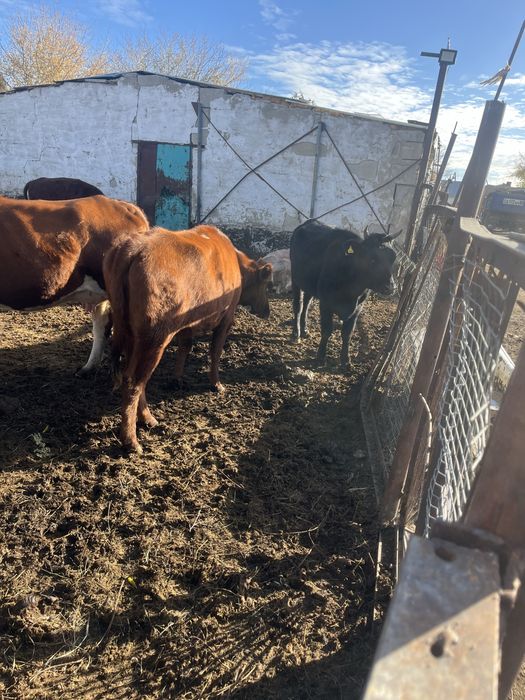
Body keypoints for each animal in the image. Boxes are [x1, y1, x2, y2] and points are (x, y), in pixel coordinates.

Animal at [103, 225, 272, 453]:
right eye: (265, 286)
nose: (267, 311)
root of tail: (133, 248)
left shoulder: (187, 325)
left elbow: (185, 347)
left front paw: (177, 379)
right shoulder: (226, 318)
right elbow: (215, 352)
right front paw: (216, 383)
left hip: (133, 335)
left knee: (137, 378)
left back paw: (147, 418)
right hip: (154, 338)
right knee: (134, 381)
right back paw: (131, 440)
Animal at [290, 219, 402, 369]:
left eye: (393, 257)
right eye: (372, 259)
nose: (390, 287)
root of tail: (310, 221)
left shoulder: (358, 308)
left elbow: (347, 334)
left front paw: (345, 360)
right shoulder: (325, 304)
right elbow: (327, 330)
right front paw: (320, 357)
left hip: (310, 284)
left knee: (307, 302)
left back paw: (304, 329)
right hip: (295, 278)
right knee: (298, 305)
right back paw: (296, 332)